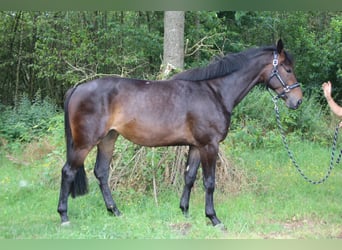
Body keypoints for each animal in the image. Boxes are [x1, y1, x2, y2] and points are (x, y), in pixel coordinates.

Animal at [57, 39, 304, 227]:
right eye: (288, 69)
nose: (297, 100)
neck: (214, 92)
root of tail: (78, 87)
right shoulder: (209, 145)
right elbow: (209, 182)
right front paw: (213, 218)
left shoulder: (196, 146)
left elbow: (189, 177)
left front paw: (185, 211)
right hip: (85, 143)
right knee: (68, 171)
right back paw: (64, 216)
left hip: (108, 139)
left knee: (101, 173)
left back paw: (115, 211)